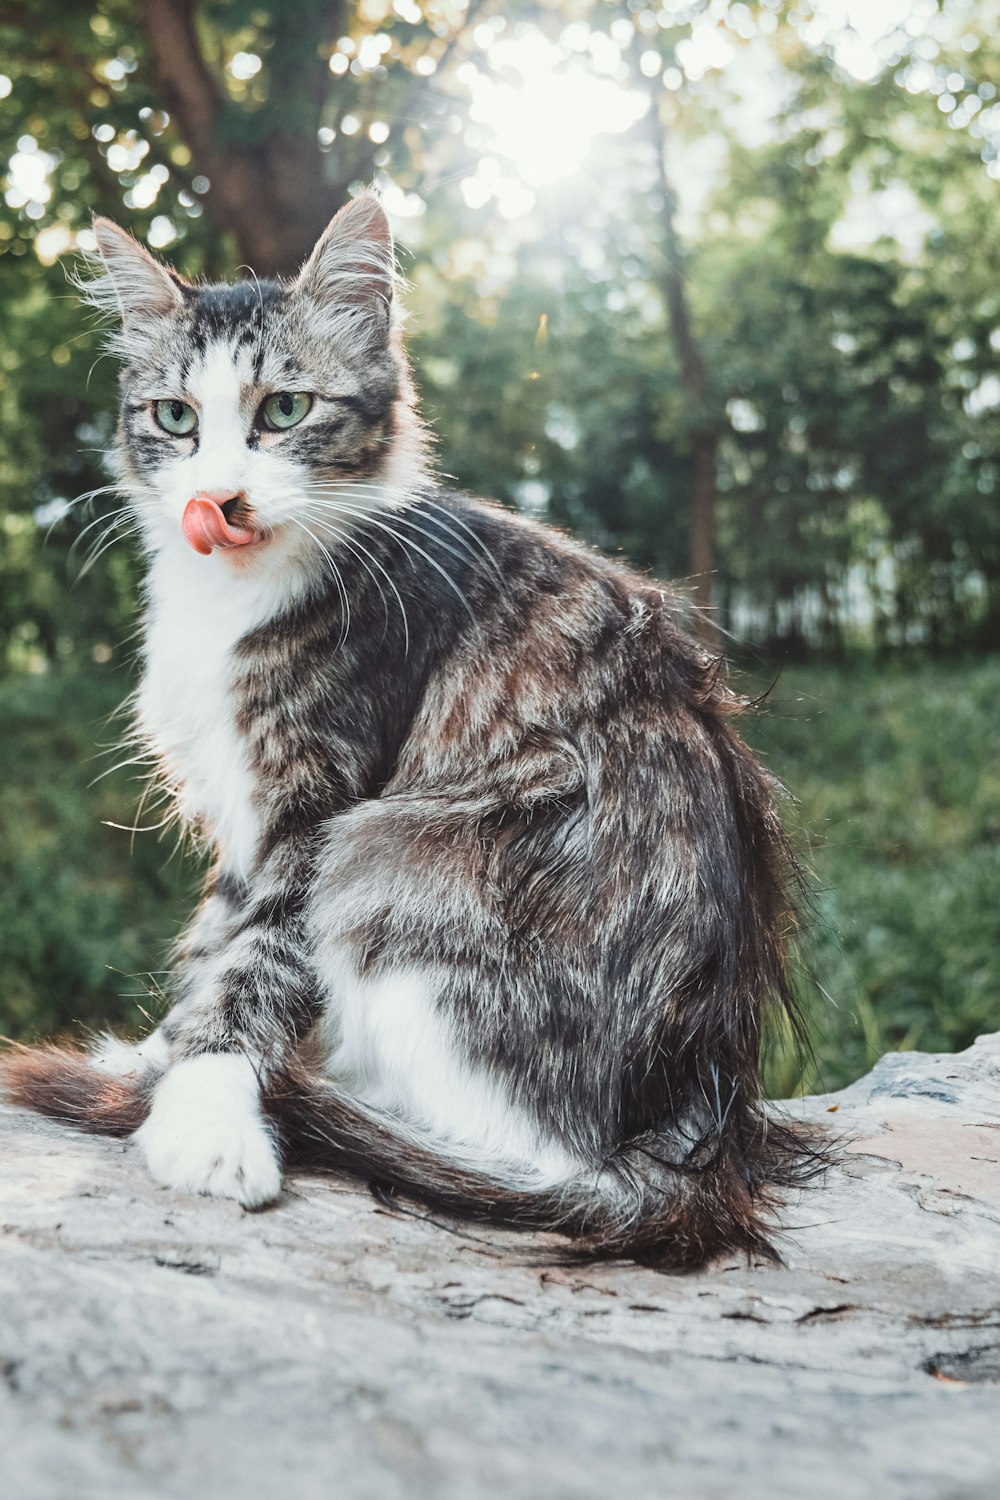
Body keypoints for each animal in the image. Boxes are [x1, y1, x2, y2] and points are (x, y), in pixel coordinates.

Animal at [0, 187, 815, 1266]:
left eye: (284, 410)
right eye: (175, 418)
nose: (217, 500)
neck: (227, 605)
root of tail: (693, 1147)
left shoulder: (313, 812)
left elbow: (249, 971)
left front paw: (207, 1117)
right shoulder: (242, 818)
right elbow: (210, 954)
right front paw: (158, 1061)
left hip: (388, 859)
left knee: (527, 1154)